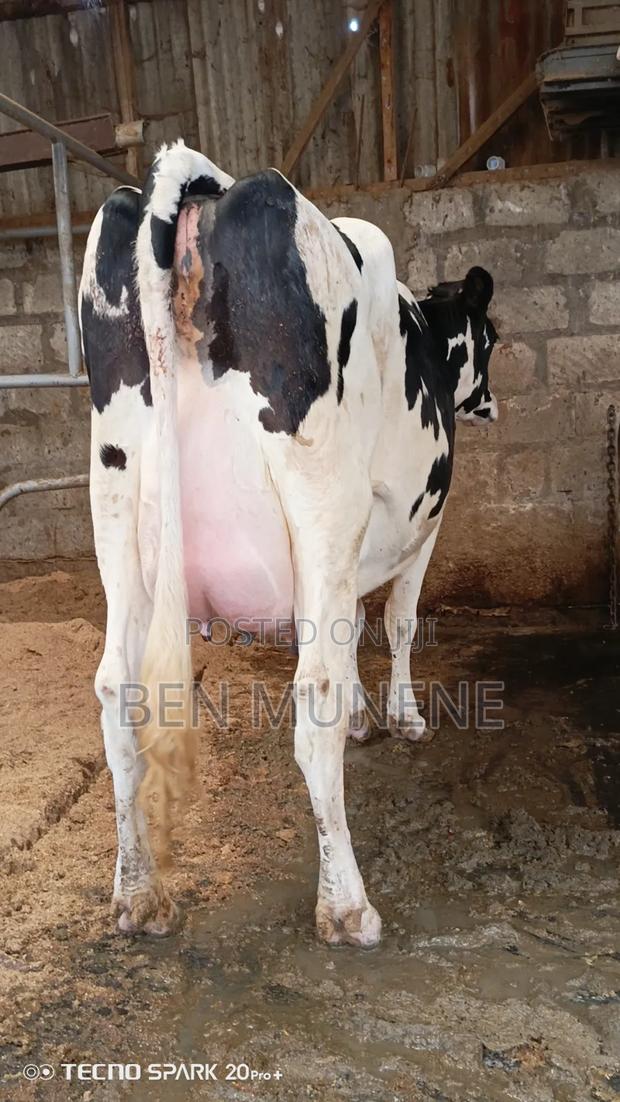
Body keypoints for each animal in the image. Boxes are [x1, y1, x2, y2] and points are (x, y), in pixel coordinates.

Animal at [79, 140, 498, 947]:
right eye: (491, 342)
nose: (490, 403)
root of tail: (207, 188)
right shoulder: (423, 522)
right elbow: (397, 620)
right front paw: (403, 718)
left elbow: (355, 621)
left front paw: (371, 716)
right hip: (319, 494)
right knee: (313, 696)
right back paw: (346, 905)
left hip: (114, 501)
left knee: (117, 690)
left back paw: (135, 893)